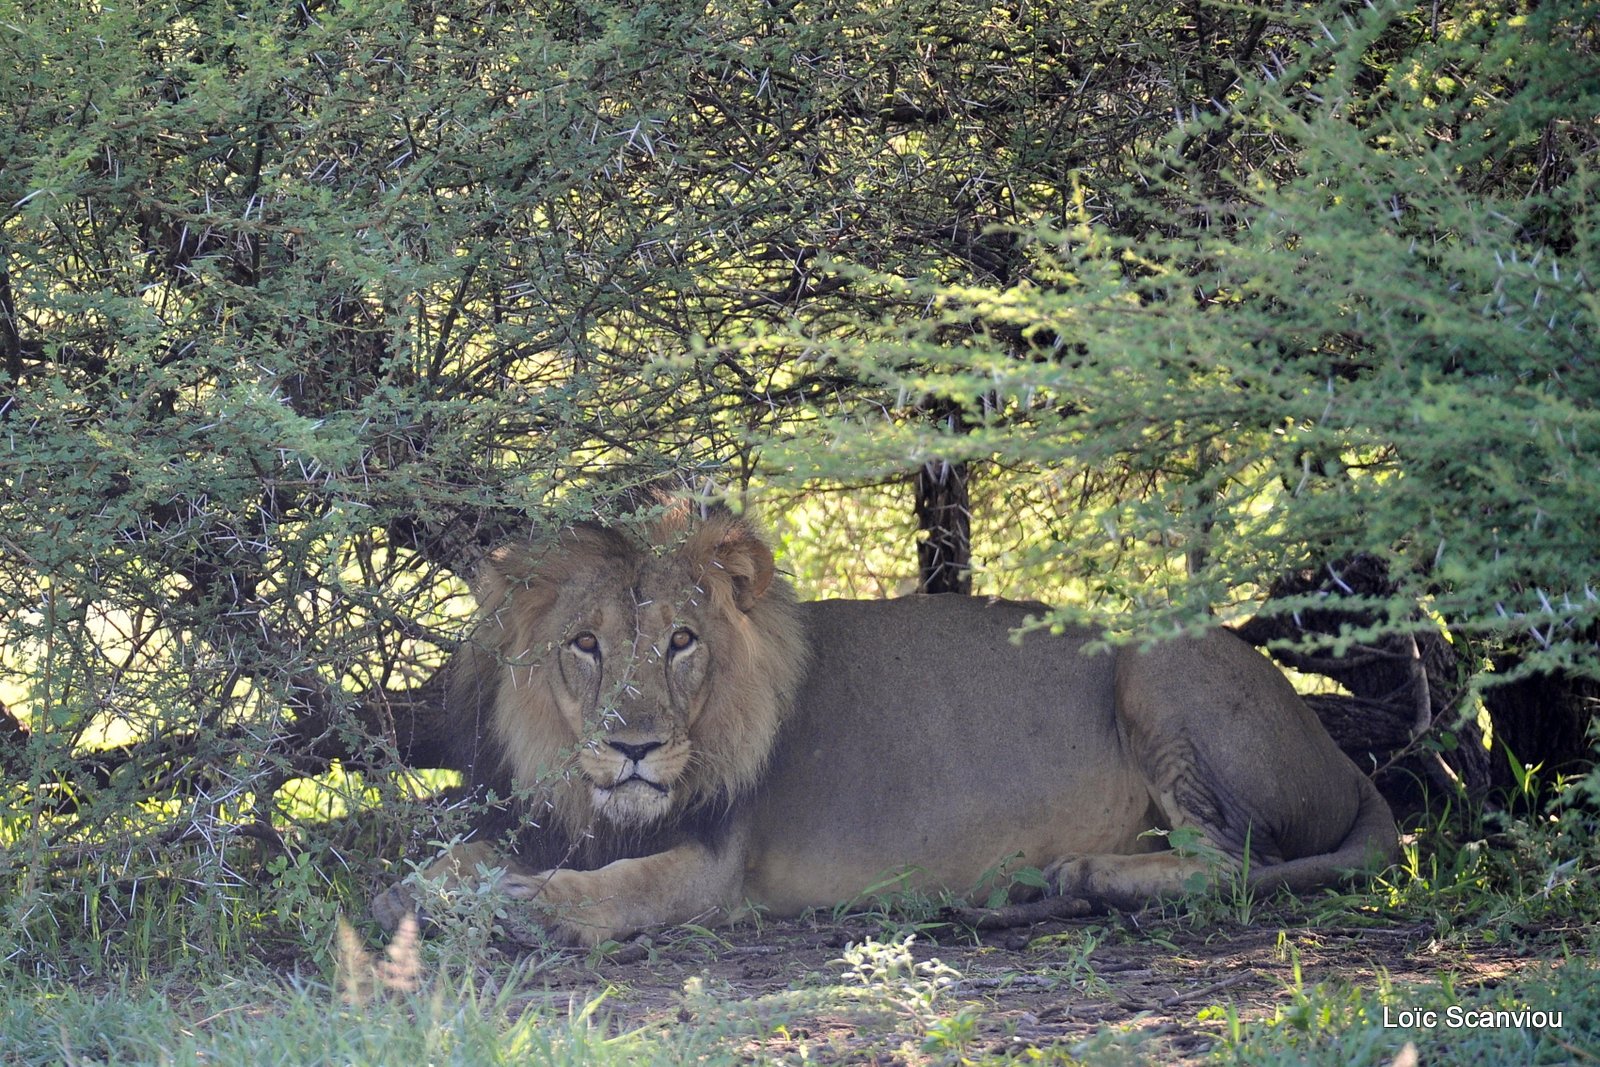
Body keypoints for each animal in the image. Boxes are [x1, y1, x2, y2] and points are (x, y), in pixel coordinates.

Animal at [371, 505, 1388, 947]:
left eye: (681, 641)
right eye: (585, 643)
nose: (634, 747)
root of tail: (1347, 760)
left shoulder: (713, 867)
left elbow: (614, 892)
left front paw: (524, 910)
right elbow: (454, 860)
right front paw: (420, 893)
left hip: (1156, 668)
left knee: (1237, 862)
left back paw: (1085, 873)